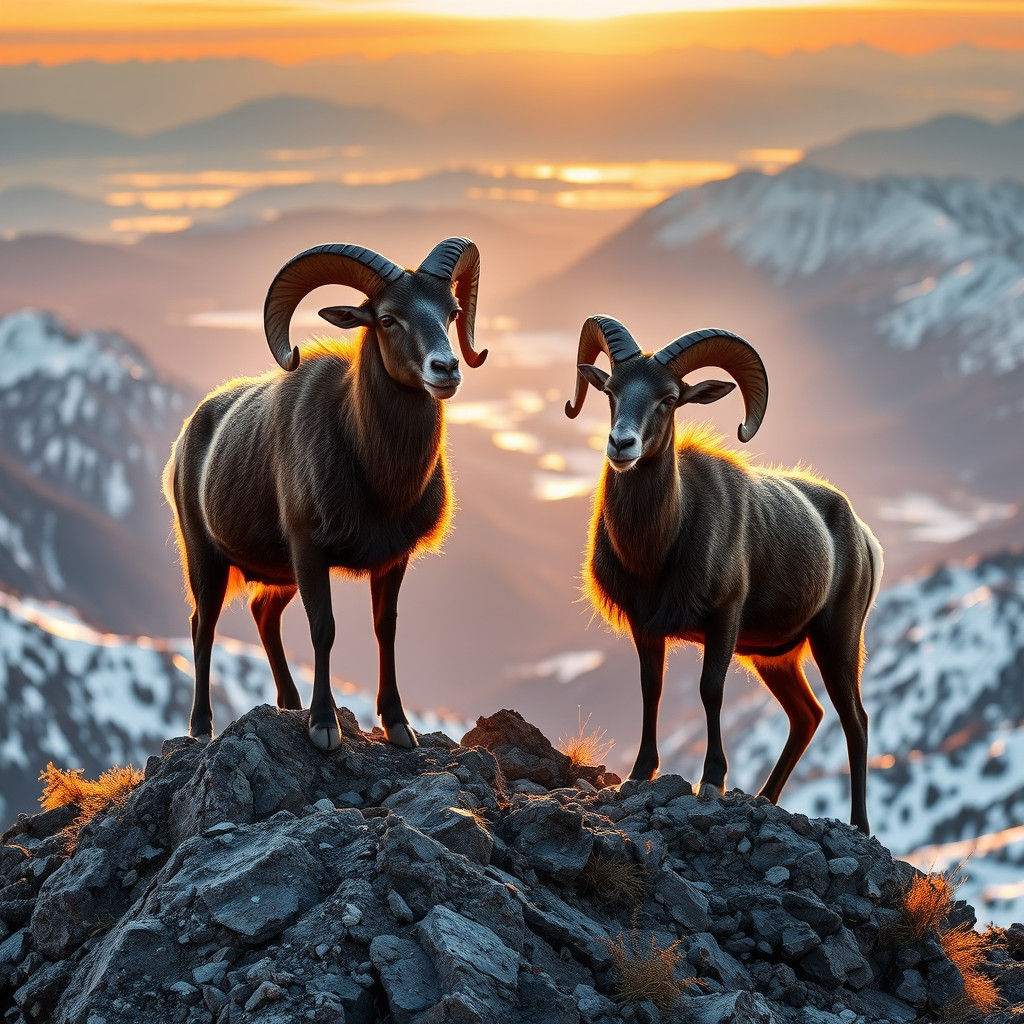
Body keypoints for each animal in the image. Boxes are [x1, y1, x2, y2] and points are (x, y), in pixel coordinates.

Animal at [164, 238, 486, 751]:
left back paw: (287, 704)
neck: (375, 478)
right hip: (205, 557)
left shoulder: (392, 560)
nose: (446, 368)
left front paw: (398, 726)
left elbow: (385, 629)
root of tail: (184, 442)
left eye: (451, 312)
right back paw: (201, 728)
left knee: (263, 613)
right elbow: (324, 629)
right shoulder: (309, 550)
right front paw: (323, 727)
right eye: (388, 319)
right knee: (203, 627)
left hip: (280, 575)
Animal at [565, 315, 883, 833]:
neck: (659, 548)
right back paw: (764, 798)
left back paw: (859, 824)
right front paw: (639, 773)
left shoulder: (724, 619)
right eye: (611, 391)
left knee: (855, 721)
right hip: (776, 659)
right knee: (807, 716)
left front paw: (711, 781)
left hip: (837, 639)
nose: (621, 445)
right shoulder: (645, 625)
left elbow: (710, 691)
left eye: (669, 398)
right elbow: (650, 689)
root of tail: (864, 536)